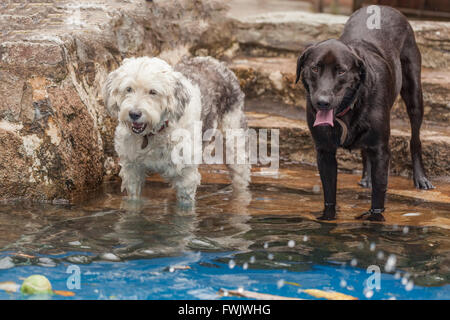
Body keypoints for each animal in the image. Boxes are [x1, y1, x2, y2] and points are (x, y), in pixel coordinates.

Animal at [102, 56, 251, 205]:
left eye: (153, 92)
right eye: (128, 89)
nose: (134, 114)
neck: (155, 133)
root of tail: (214, 61)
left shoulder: (186, 175)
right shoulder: (132, 169)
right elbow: (133, 200)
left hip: (234, 136)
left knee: (240, 174)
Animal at [296, 6, 432, 221]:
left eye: (341, 71)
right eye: (315, 68)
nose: (322, 102)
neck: (348, 107)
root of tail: (385, 7)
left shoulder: (381, 152)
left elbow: (378, 198)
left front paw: (375, 220)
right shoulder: (325, 153)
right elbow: (329, 196)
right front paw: (328, 217)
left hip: (414, 95)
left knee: (415, 139)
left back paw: (421, 178)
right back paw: (367, 177)